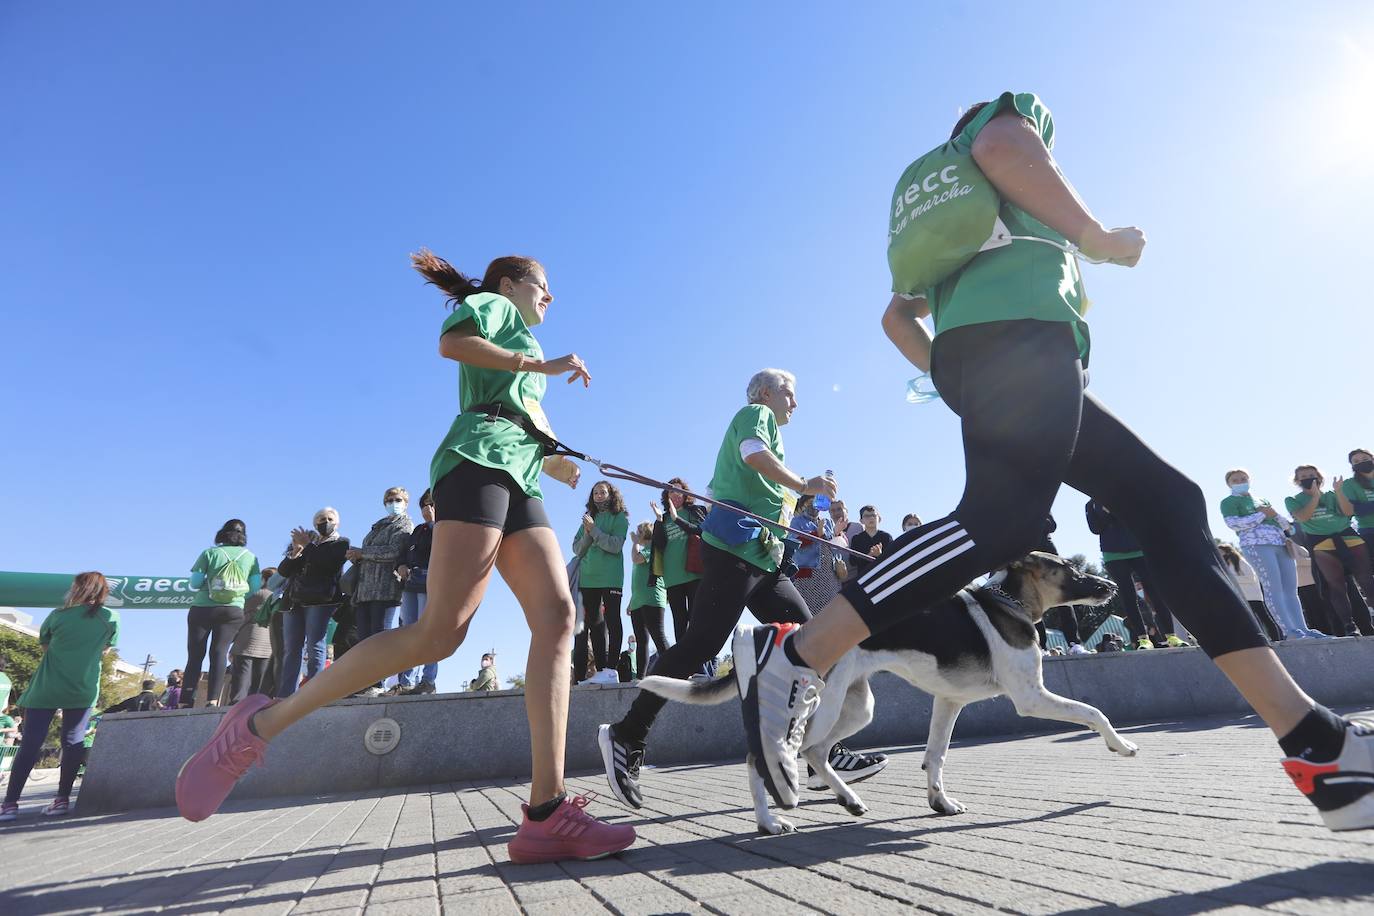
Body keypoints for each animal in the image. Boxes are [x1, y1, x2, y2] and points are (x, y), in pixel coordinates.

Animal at [637, 552, 1143, 840]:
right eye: (1069, 569)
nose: (1114, 586)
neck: (1008, 604)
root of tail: (795, 633)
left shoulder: (949, 702)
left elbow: (935, 755)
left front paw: (940, 802)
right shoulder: (1031, 696)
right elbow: (1093, 711)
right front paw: (1121, 745)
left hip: (857, 706)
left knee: (813, 752)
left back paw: (837, 803)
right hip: (824, 706)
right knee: (780, 754)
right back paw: (776, 819)